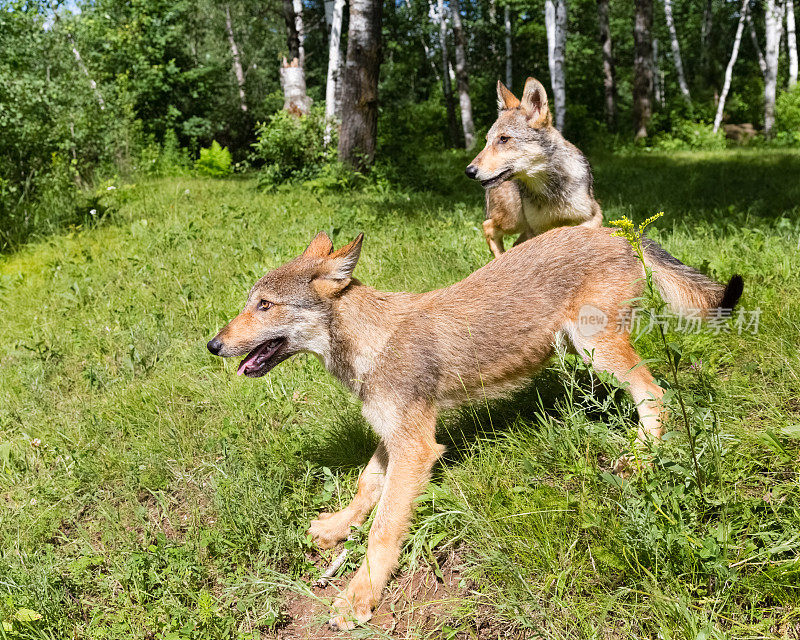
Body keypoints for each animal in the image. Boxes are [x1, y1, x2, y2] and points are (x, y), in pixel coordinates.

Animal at [466, 79, 604, 258]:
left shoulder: (593, 216)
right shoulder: (537, 229)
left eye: (503, 139)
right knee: (488, 226)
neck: (549, 190)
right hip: (513, 221)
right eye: (486, 141)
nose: (469, 171)